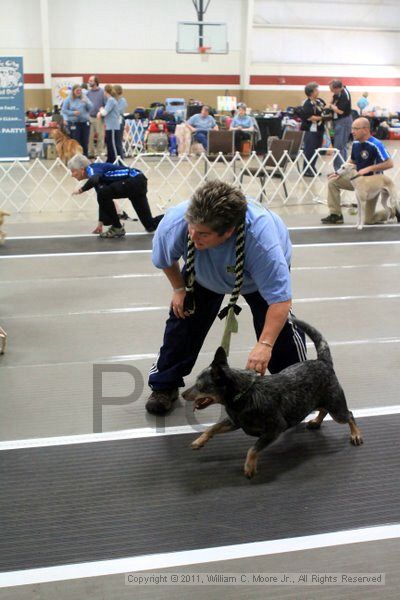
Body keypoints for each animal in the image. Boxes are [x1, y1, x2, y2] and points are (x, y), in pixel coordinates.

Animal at [183, 318, 364, 478]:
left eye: (199, 385)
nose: (183, 394)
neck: (245, 394)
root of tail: (323, 361)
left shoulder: (275, 429)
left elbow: (253, 449)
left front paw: (249, 467)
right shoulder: (234, 422)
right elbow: (212, 428)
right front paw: (199, 441)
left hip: (336, 408)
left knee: (349, 415)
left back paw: (355, 435)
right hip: (314, 402)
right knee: (323, 410)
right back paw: (316, 422)